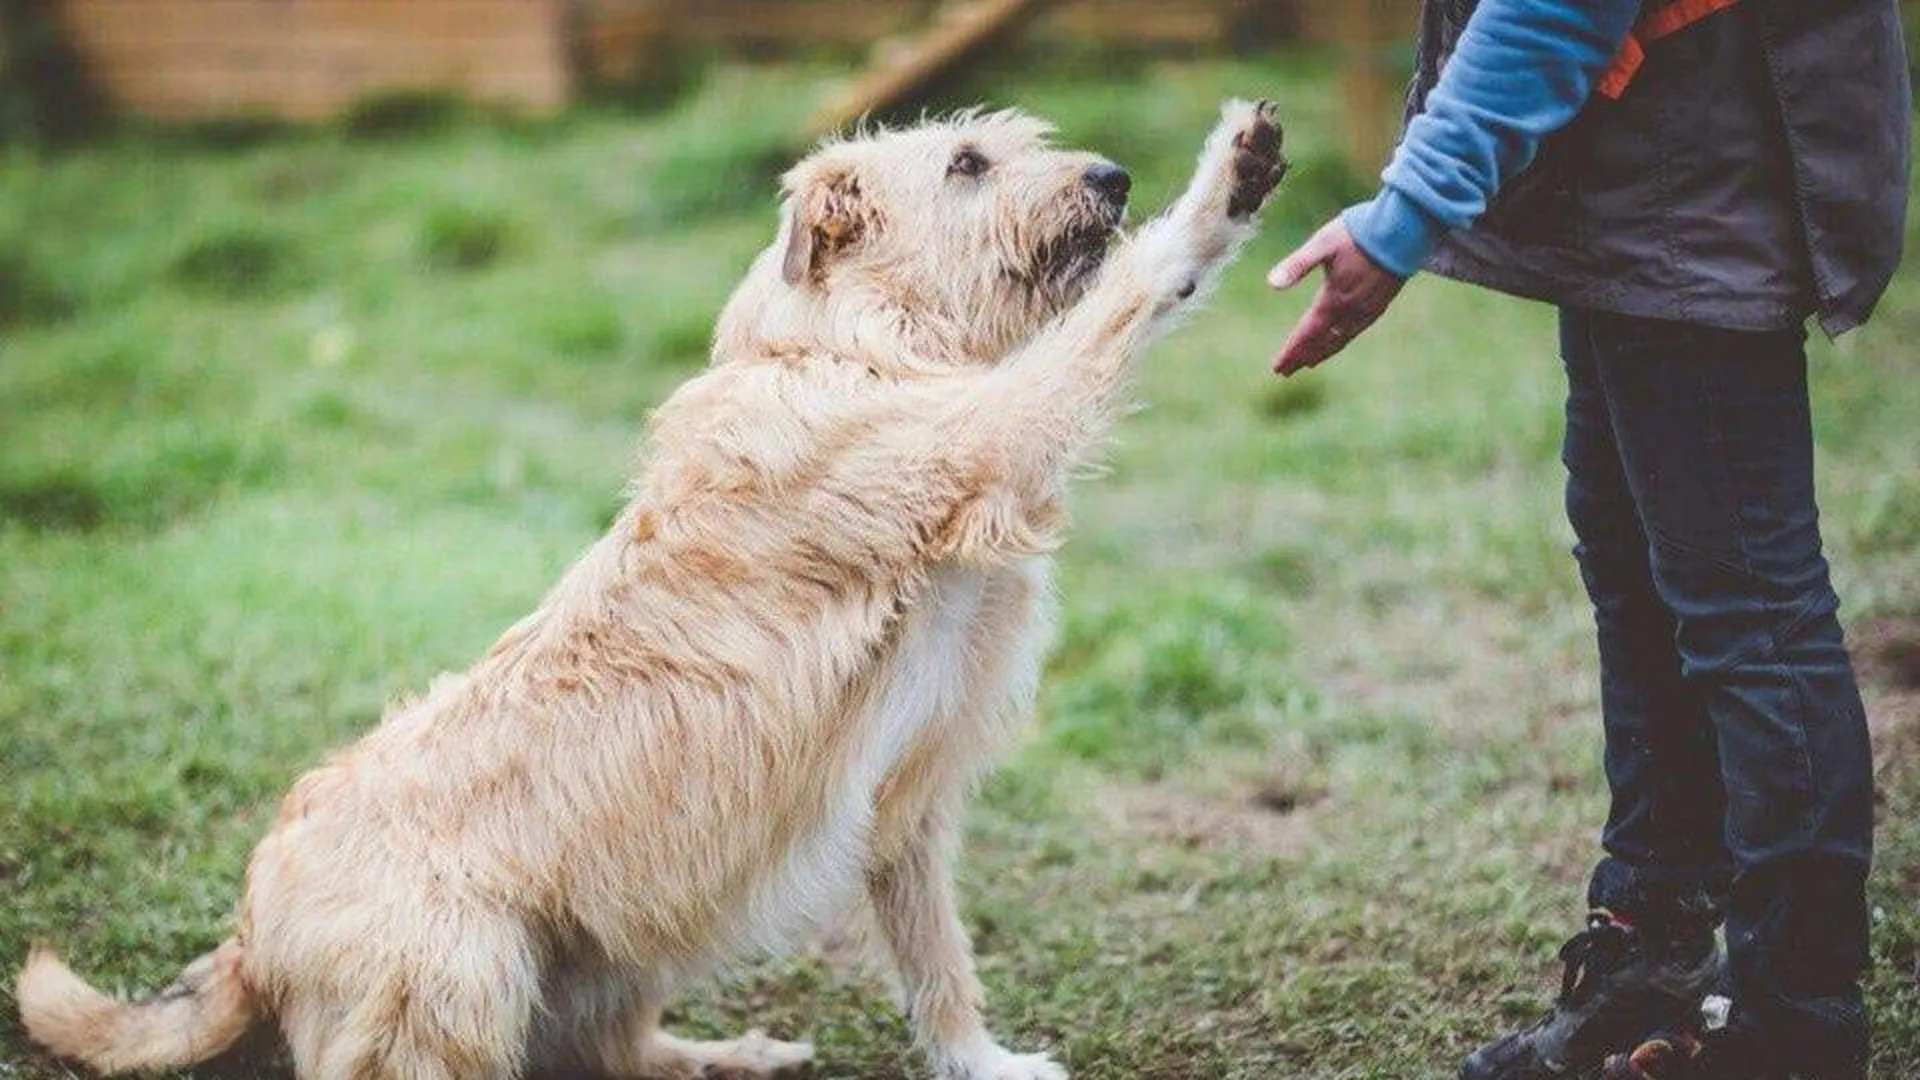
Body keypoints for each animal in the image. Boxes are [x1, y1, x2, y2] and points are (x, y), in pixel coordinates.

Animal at [18, 98, 1290, 1076]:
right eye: (967, 164)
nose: (1114, 177)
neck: (851, 346)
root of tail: (246, 934)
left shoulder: (910, 802)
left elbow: (940, 966)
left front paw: (979, 1062)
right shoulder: (990, 437)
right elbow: (1126, 301)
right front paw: (1219, 188)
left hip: (613, 963)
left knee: (620, 1060)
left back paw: (741, 1055)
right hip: (463, 973)